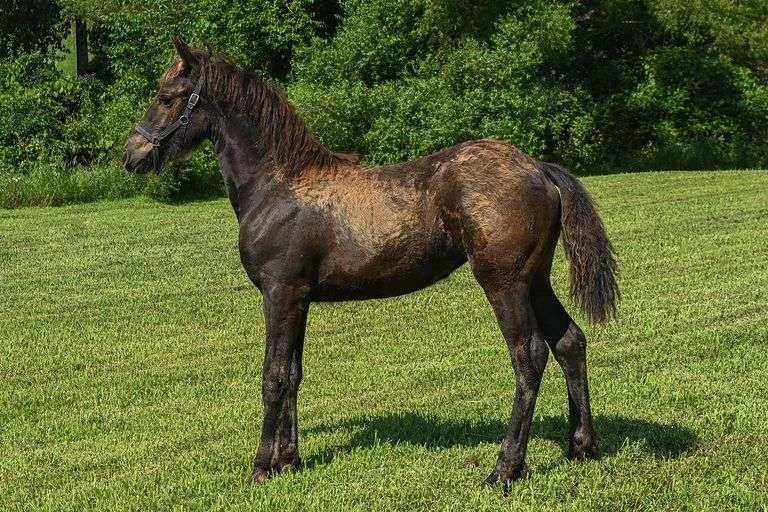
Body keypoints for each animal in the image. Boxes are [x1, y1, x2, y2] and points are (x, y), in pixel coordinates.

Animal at [123, 37, 619, 491]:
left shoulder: (279, 293)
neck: (278, 185)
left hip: (505, 282)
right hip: (536, 280)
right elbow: (294, 375)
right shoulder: (299, 298)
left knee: (529, 356)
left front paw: (262, 467)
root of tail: (538, 168)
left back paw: (504, 469)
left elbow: (273, 376)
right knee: (570, 342)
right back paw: (582, 447)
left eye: (167, 97)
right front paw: (290, 460)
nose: (131, 156)